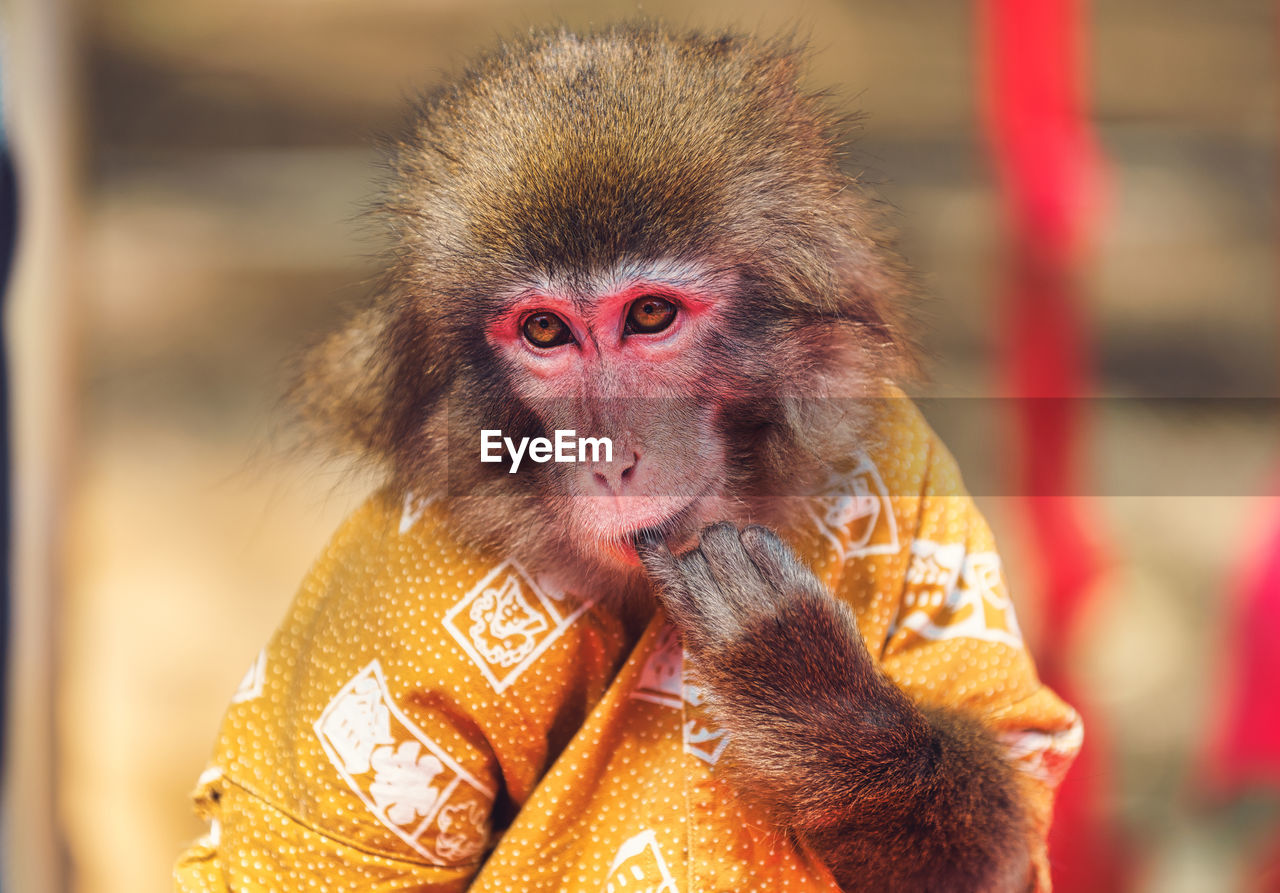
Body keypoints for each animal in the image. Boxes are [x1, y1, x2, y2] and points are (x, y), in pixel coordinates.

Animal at [177, 20, 1080, 890]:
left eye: (649, 315)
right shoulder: (388, 612)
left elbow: (1007, 836)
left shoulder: (907, 465)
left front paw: (808, 693)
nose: (608, 453)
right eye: (545, 330)